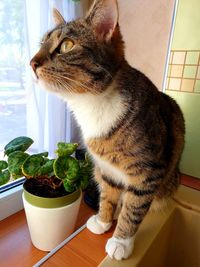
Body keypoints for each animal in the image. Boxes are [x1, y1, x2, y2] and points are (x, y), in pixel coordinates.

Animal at [29, 0, 184, 260]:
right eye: (42, 44)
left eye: (66, 45)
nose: (31, 63)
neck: (92, 104)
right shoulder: (106, 170)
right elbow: (108, 196)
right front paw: (103, 221)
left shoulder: (148, 172)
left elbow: (133, 208)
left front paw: (121, 241)